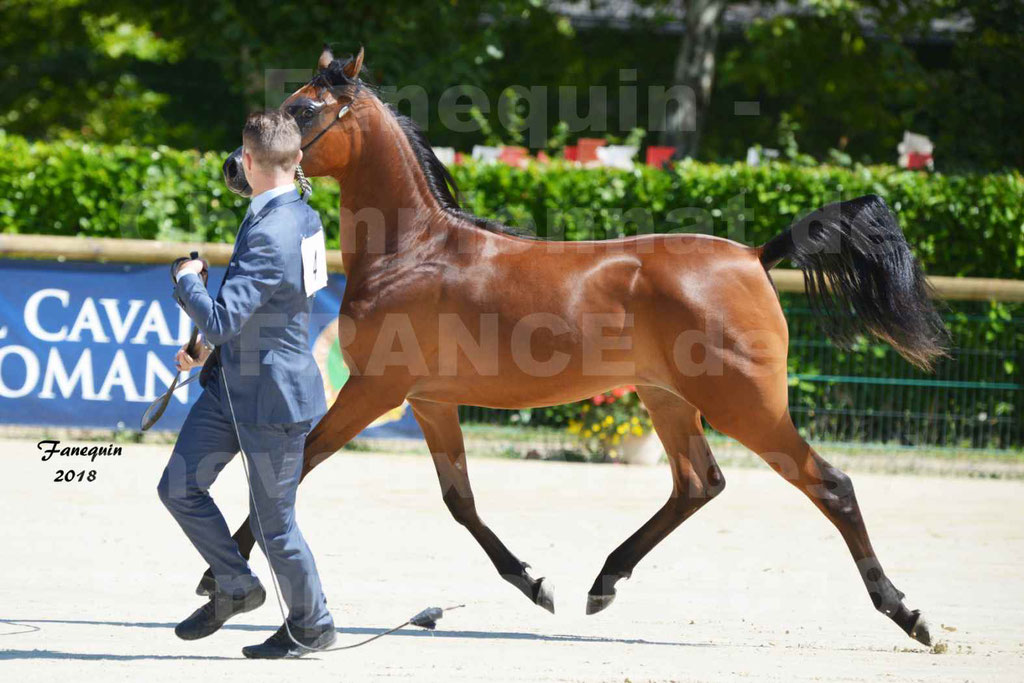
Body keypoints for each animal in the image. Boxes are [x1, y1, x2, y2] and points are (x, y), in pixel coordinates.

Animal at [209, 45, 950, 643]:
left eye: (303, 108)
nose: (234, 168)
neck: (414, 251)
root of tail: (752, 256)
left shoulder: (373, 389)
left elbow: (296, 464)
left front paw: (219, 579)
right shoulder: (428, 401)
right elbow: (459, 500)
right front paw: (535, 583)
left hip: (746, 404)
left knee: (830, 484)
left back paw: (908, 614)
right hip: (667, 398)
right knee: (698, 482)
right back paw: (604, 582)